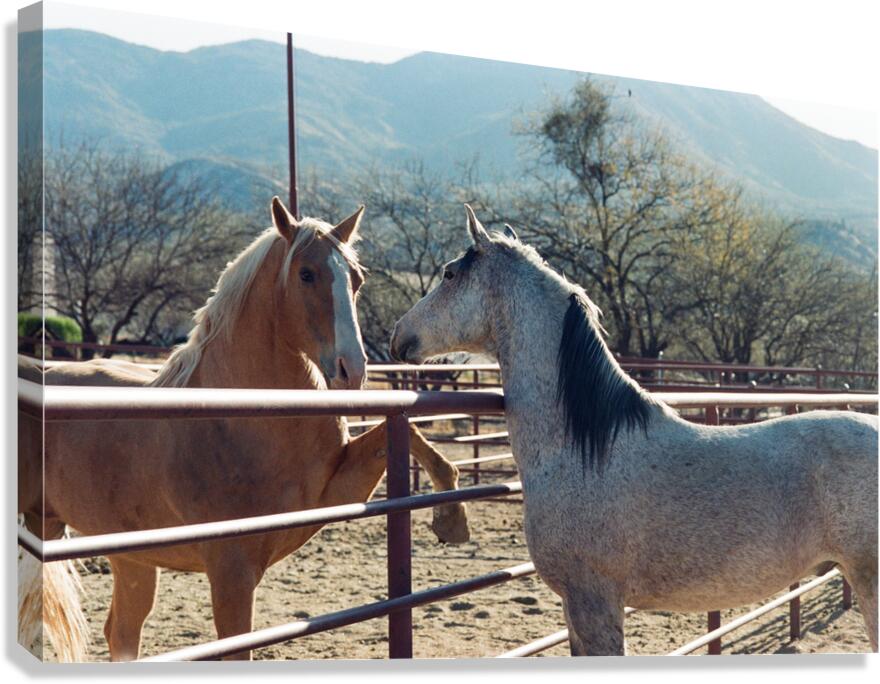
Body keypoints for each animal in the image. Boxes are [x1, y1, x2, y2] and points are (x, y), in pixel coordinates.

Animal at [18, 197, 470, 661]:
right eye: (306, 274)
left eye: (357, 279)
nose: (354, 369)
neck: (240, 419)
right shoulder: (231, 572)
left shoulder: (338, 488)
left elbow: (405, 433)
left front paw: (452, 517)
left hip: (120, 553)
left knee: (122, 633)